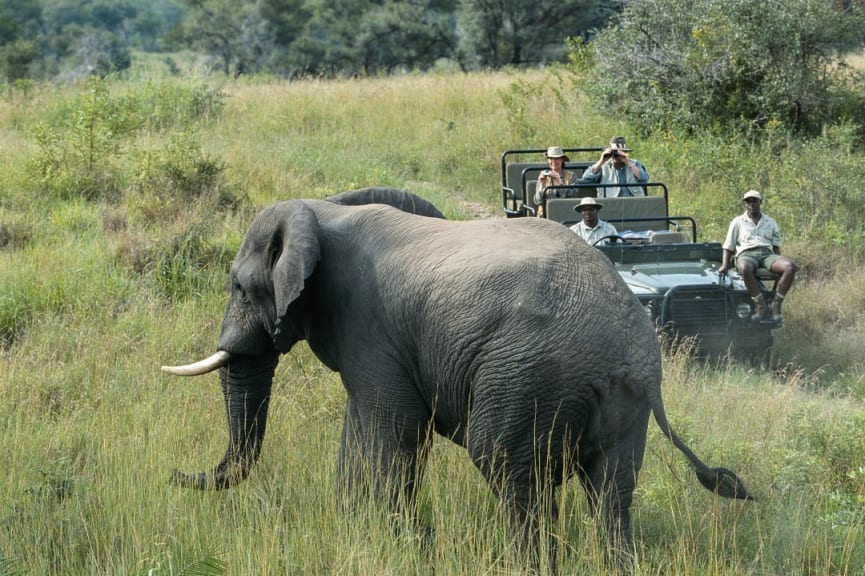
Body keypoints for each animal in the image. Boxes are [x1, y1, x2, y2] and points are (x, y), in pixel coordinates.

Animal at [160, 188, 748, 568]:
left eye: (238, 288)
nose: (175, 476)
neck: (323, 211)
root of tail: (633, 351)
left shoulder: (369, 326)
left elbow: (391, 429)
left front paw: (394, 544)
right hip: (615, 402)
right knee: (612, 486)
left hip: (526, 373)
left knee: (510, 469)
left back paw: (527, 565)